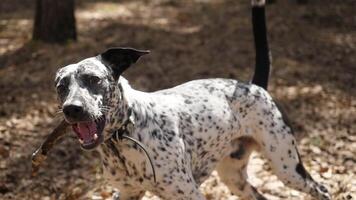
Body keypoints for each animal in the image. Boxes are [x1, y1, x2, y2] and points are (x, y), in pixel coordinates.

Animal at [54, 0, 332, 199]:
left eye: (93, 79)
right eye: (61, 86)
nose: (72, 109)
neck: (126, 132)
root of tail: (254, 85)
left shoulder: (188, 193)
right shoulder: (127, 193)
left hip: (287, 166)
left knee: (323, 190)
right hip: (234, 176)